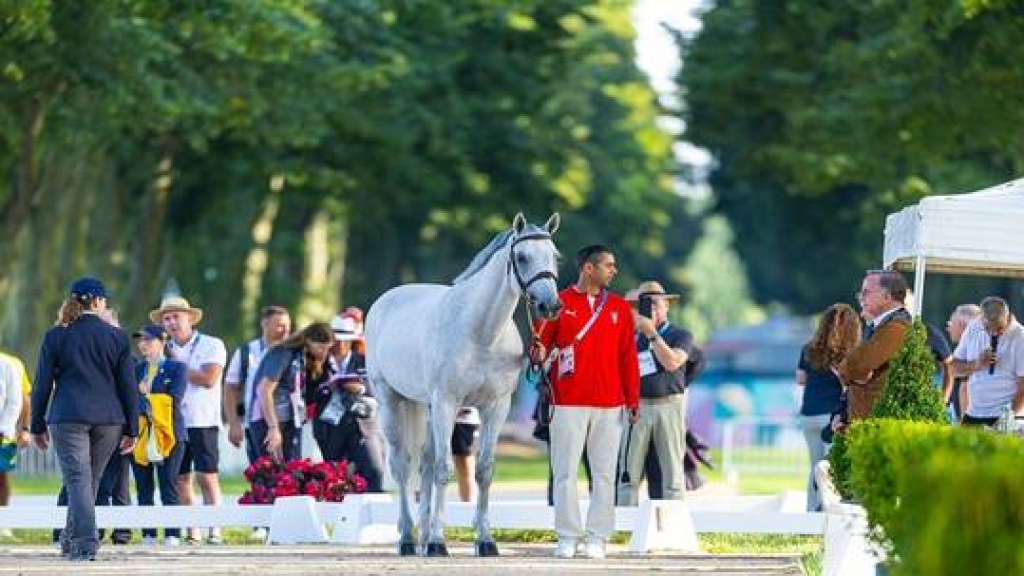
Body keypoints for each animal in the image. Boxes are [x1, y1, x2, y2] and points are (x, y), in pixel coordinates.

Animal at [366, 213, 565, 553]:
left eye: (555, 256)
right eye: (522, 257)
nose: (549, 306)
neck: (480, 333)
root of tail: (386, 300)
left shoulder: (496, 407)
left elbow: (483, 471)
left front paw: (485, 540)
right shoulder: (447, 402)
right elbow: (444, 470)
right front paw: (438, 542)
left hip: (426, 407)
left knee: (425, 463)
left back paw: (421, 536)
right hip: (391, 401)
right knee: (403, 466)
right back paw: (409, 539)